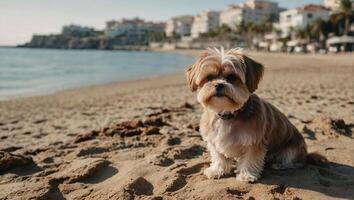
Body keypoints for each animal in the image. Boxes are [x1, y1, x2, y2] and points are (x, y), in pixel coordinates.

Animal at [185, 47, 306, 182]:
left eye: (232, 77)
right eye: (209, 77)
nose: (219, 84)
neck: (228, 114)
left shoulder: (254, 141)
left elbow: (250, 158)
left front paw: (246, 175)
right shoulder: (214, 140)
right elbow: (219, 157)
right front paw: (217, 170)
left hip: (293, 148)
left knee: (294, 162)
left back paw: (279, 165)